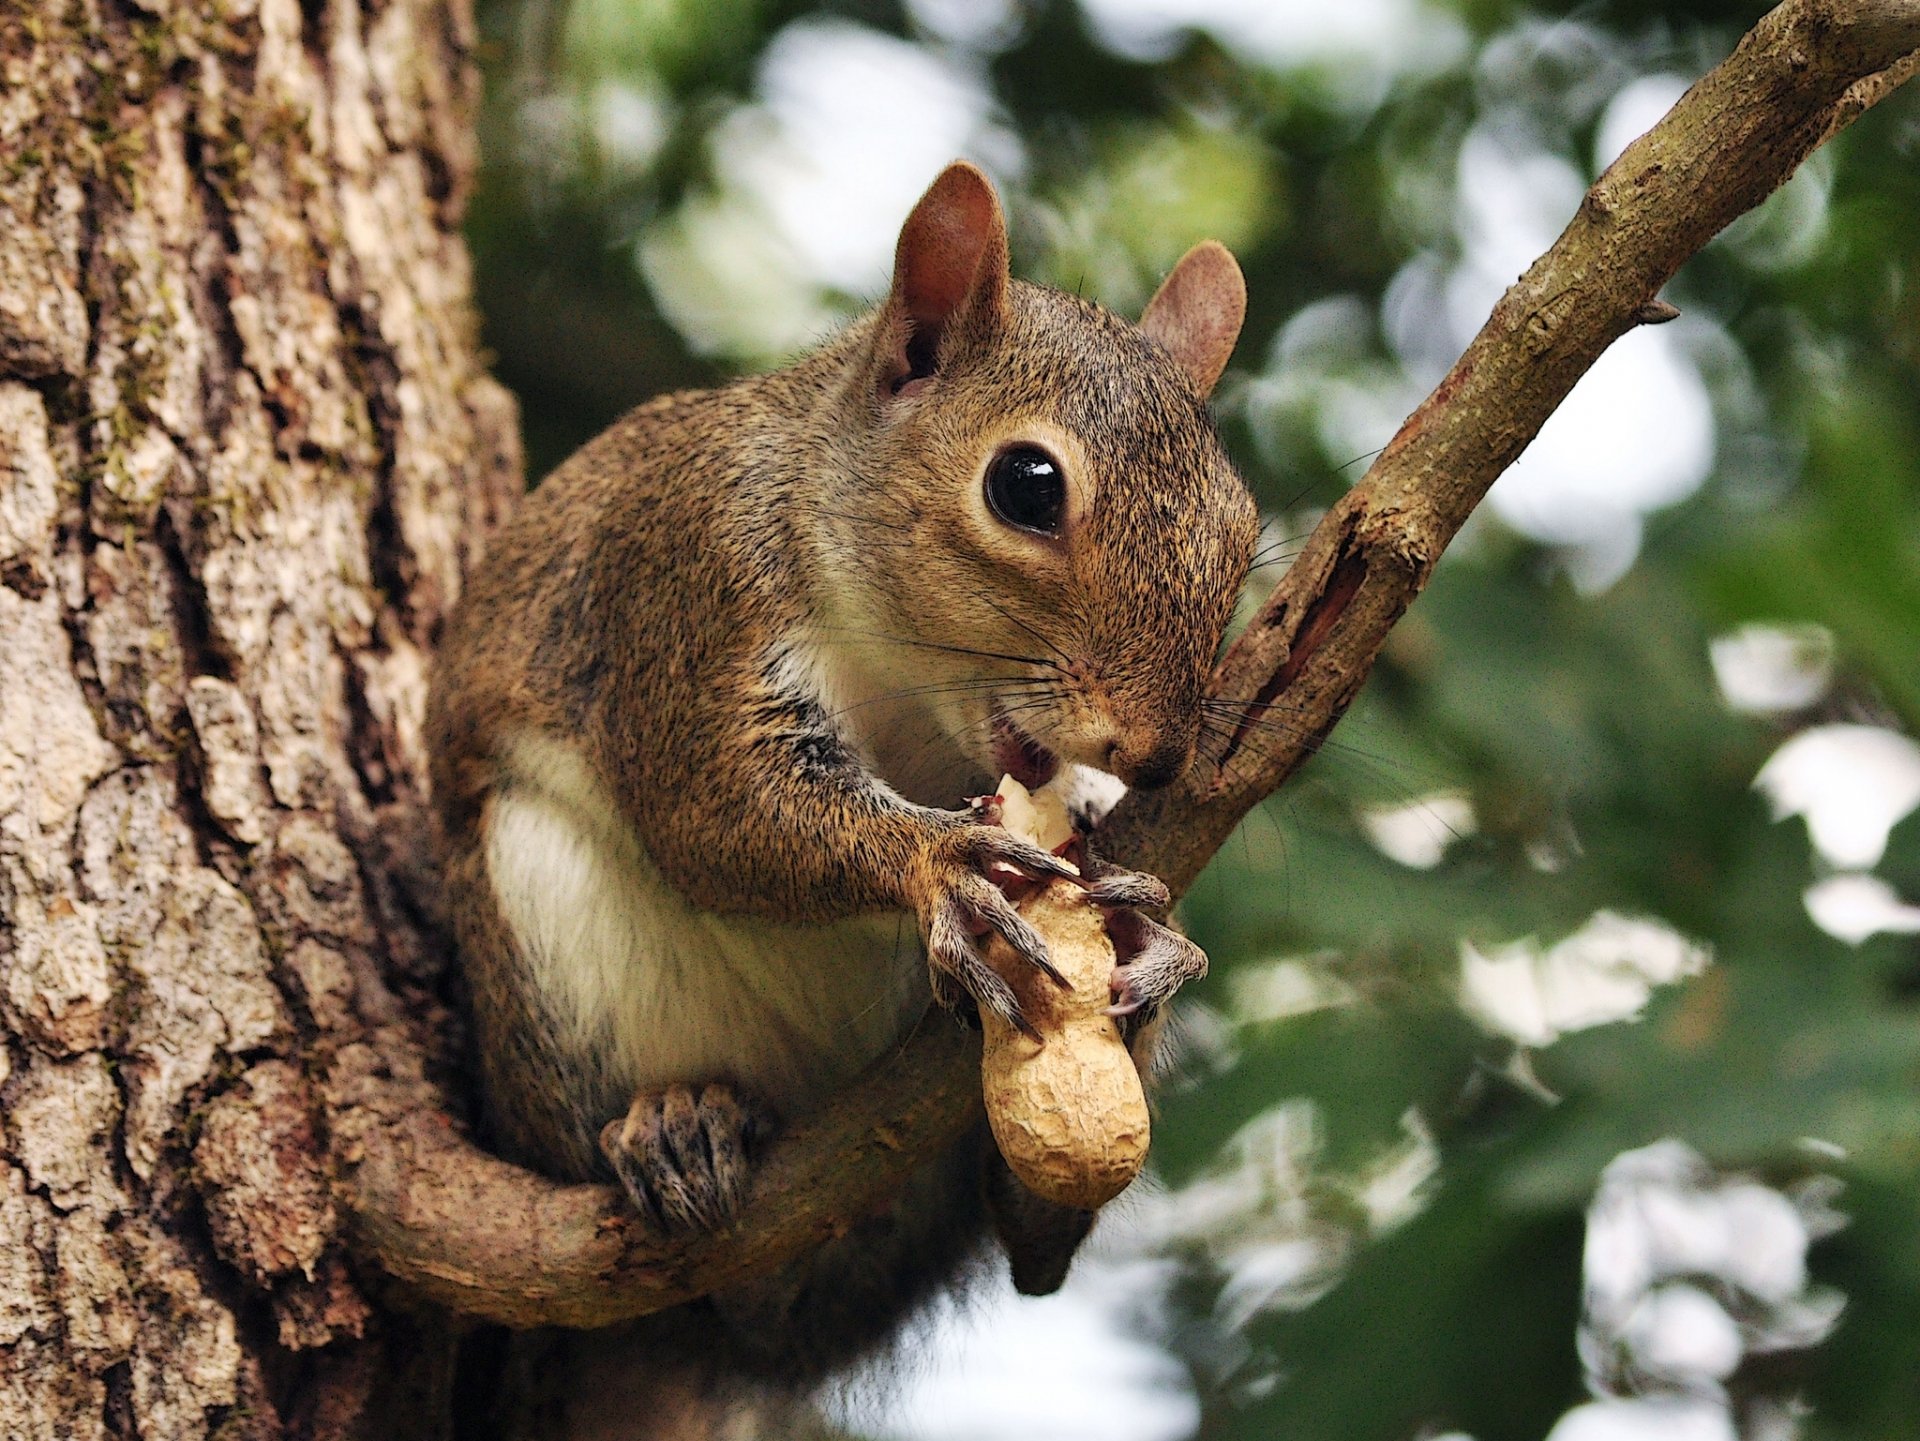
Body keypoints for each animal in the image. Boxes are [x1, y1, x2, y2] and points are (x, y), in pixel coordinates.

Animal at [422, 163, 1259, 1404]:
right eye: (1025, 485)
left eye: (1242, 528)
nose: (1156, 754)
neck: (907, 689)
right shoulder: (688, 584)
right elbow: (717, 807)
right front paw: (941, 863)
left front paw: (1148, 927)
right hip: (544, 944)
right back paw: (675, 1129)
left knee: (1035, 1242)